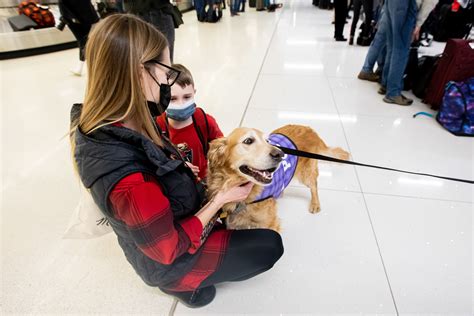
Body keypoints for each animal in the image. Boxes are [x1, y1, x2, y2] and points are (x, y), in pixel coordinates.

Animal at [206, 124, 348, 232]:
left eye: (267, 141)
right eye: (248, 141)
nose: (280, 154)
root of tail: (309, 129)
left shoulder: (270, 223)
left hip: (306, 173)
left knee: (314, 185)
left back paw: (315, 203)